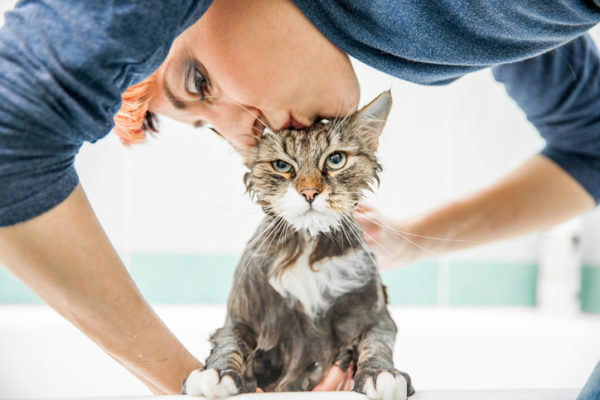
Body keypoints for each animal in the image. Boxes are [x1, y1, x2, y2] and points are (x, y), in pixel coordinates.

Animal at [183, 92, 414, 398]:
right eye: (282, 166)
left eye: (336, 160)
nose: (309, 192)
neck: (307, 248)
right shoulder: (240, 320)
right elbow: (230, 344)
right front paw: (216, 374)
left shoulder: (376, 317)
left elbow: (376, 344)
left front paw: (382, 374)